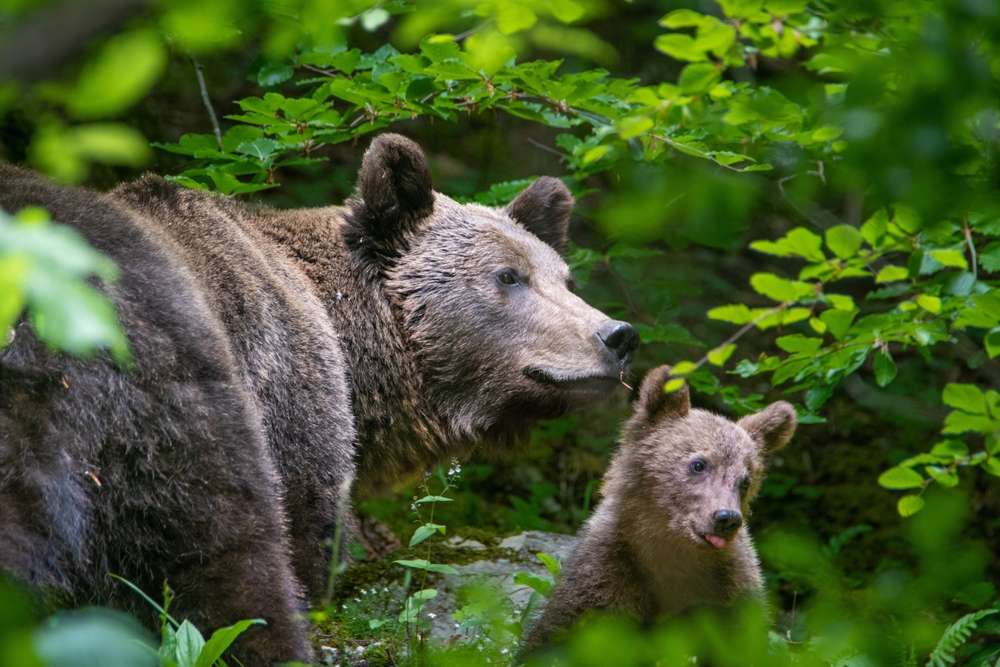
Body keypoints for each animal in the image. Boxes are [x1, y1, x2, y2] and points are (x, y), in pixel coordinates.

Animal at [524, 366, 796, 652]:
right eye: (699, 464)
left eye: (745, 481)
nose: (726, 518)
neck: (672, 551)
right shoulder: (606, 572)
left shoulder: (729, 594)